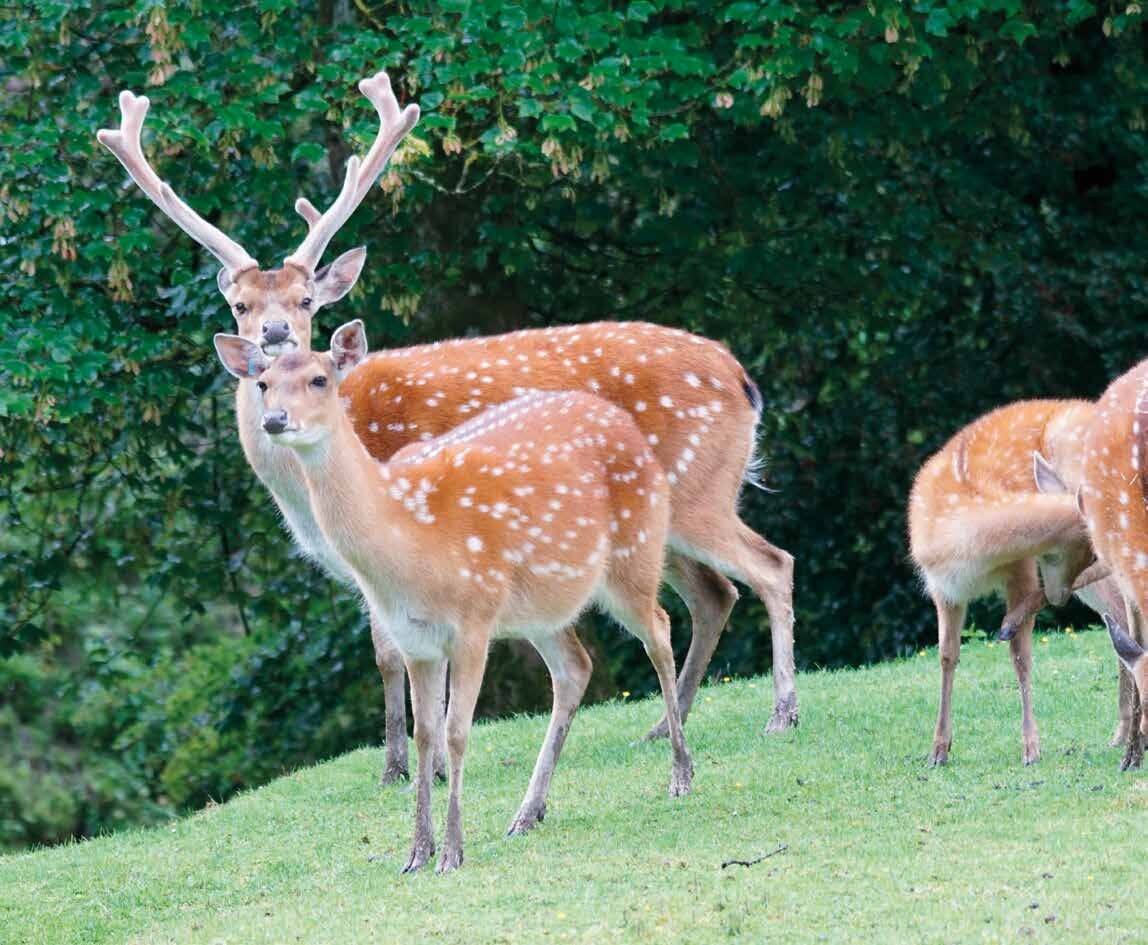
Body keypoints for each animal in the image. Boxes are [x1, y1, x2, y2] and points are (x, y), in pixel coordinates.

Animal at [96, 72, 799, 785]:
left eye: (305, 301)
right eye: (240, 305)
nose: (273, 336)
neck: (304, 495)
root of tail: (742, 378)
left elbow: (392, 653)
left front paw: (410, 767)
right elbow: (390, 652)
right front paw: (401, 765)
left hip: (697, 489)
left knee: (772, 564)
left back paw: (781, 713)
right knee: (714, 594)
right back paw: (661, 726)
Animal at [216, 328, 697, 877]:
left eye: (320, 378)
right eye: (263, 384)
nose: (275, 420)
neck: (405, 539)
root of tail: (627, 426)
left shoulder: (472, 619)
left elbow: (457, 732)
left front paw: (451, 852)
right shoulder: (415, 639)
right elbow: (425, 734)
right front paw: (416, 852)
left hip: (634, 553)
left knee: (660, 629)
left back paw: (681, 773)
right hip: (541, 607)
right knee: (576, 668)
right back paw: (528, 813)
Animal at [909, 399, 1125, 767]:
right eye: (1081, 553)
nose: (1060, 597)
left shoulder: (1022, 569)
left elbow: (1020, 656)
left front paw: (1031, 748)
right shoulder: (943, 588)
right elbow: (947, 655)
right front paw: (938, 750)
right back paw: (1123, 735)